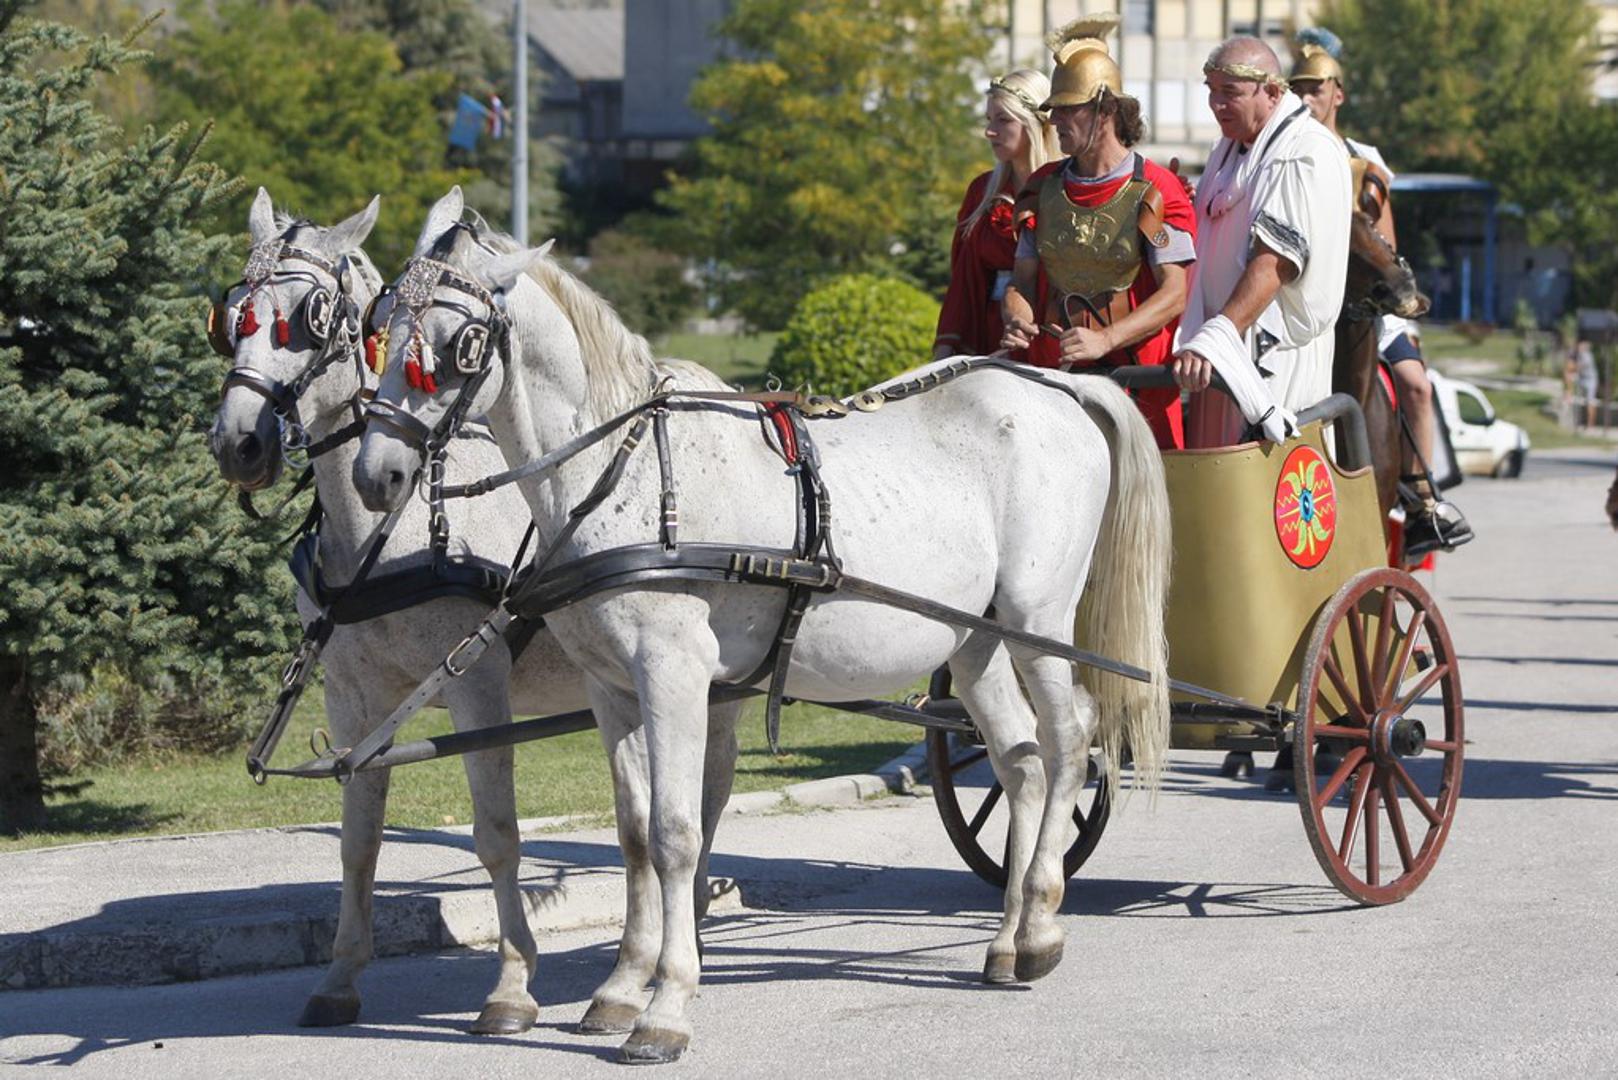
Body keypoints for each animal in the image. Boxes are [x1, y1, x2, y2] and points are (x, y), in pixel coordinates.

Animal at [209, 191, 740, 1036]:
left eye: (312, 316)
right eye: (233, 316)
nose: (239, 443)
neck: (385, 537)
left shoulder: (474, 681)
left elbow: (496, 836)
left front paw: (512, 986)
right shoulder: (351, 695)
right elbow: (358, 841)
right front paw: (340, 977)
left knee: (708, 798)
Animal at [351, 186, 1172, 1064]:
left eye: (457, 345)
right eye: (382, 326)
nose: (377, 475)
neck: (625, 470)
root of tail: (1055, 386)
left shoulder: (674, 673)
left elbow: (676, 833)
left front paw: (665, 1006)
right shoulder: (611, 686)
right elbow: (633, 832)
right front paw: (619, 987)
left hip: (1036, 619)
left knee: (1070, 737)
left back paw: (1044, 921)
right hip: (973, 639)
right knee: (1020, 761)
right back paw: (1009, 940)